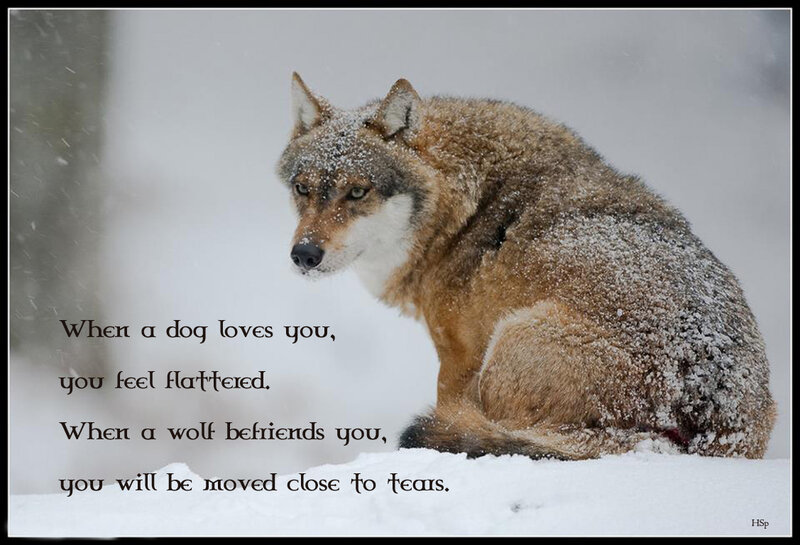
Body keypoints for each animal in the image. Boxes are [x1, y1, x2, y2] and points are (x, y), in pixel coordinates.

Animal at [277, 73, 775, 459]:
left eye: (357, 192)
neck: (461, 210)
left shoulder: (457, 359)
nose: (304, 254)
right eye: (303, 189)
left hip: (508, 342)